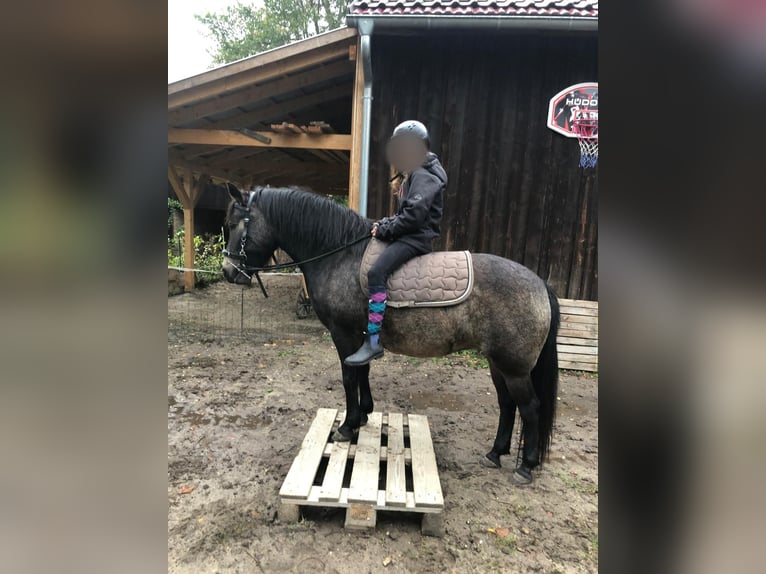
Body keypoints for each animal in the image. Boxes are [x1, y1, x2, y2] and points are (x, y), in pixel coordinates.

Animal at [219, 186, 560, 486]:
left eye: (234, 224)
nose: (227, 272)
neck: (340, 255)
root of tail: (540, 284)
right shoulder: (360, 337)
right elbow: (363, 370)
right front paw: (364, 414)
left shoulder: (343, 334)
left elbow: (349, 377)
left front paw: (348, 426)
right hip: (497, 363)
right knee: (507, 404)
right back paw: (495, 453)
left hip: (514, 367)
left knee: (530, 408)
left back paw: (526, 467)